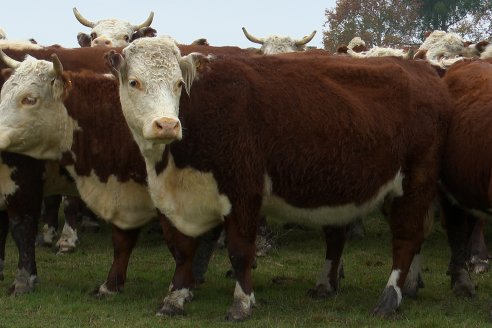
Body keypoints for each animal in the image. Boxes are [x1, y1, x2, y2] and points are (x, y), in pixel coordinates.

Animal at [105, 36, 452, 320]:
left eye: (178, 84)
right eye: (134, 82)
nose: (166, 124)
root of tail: (423, 68)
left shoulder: (244, 192)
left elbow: (240, 250)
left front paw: (242, 303)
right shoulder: (172, 200)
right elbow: (181, 251)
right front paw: (175, 298)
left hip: (415, 182)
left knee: (407, 239)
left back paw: (390, 297)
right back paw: (338, 285)